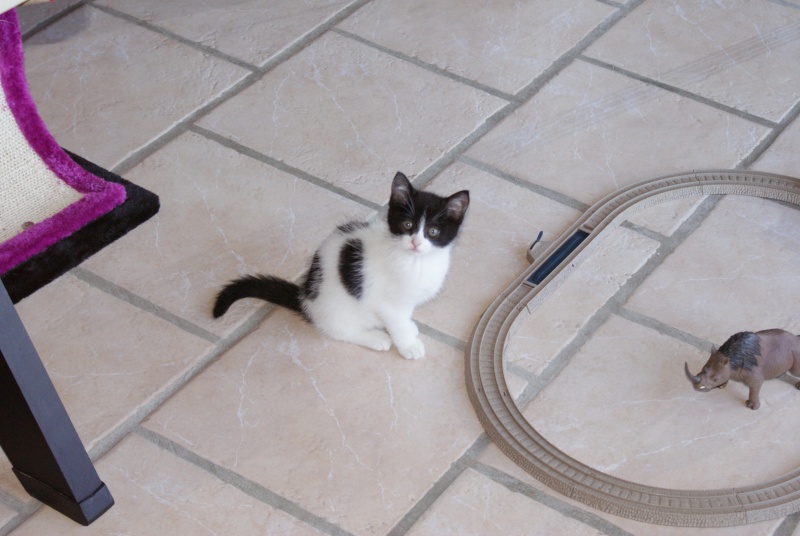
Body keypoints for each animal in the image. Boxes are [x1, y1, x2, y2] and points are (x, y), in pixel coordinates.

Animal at [216, 172, 472, 360]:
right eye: (407, 225)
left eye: (433, 231)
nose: (416, 242)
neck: (417, 262)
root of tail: (306, 297)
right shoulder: (386, 303)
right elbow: (395, 322)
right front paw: (408, 345)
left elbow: (404, 316)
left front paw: (409, 328)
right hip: (337, 308)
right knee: (339, 330)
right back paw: (376, 338)